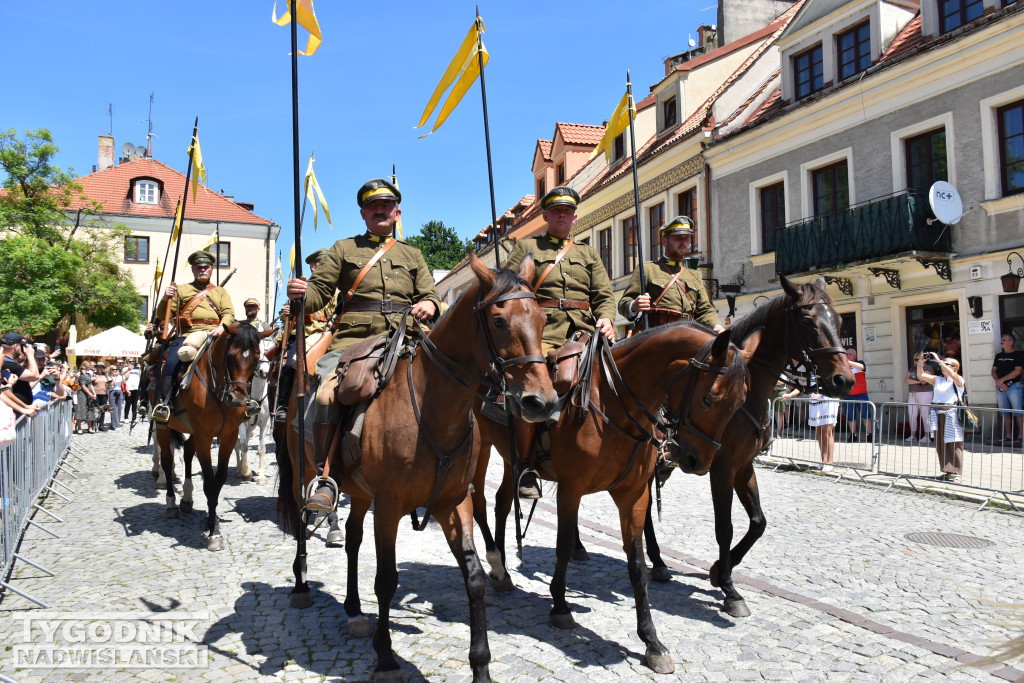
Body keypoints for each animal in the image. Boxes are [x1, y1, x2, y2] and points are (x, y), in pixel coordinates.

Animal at [234, 333, 276, 483]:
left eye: (273, 350)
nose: (264, 372)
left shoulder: (265, 422)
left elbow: (262, 448)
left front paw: (261, 476)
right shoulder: (240, 422)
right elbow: (244, 446)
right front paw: (246, 473)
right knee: (237, 445)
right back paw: (239, 470)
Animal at [276, 252, 557, 683]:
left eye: (542, 318)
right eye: (499, 320)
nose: (541, 402)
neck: (433, 409)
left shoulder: (452, 503)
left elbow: (474, 578)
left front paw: (481, 666)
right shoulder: (389, 507)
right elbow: (386, 580)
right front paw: (386, 656)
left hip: (360, 494)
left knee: (353, 540)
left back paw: (354, 609)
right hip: (304, 473)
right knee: (304, 530)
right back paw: (302, 586)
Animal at [471, 321, 761, 671]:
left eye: (740, 402)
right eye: (708, 399)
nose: (697, 461)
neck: (612, 402)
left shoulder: (632, 495)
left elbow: (637, 565)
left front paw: (652, 641)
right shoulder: (571, 489)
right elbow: (564, 546)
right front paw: (560, 606)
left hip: (511, 460)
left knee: (502, 503)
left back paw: (501, 569)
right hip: (480, 451)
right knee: (481, 503)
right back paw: (497, 564)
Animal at [630, 274, 856, 618]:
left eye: (841, 320)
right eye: (807, 321)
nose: (844, 380)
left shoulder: (743, 466)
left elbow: (758, 522)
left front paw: (718, 570)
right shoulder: (721, 469)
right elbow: (725, 527)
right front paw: (729, 588)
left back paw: (657, 563)